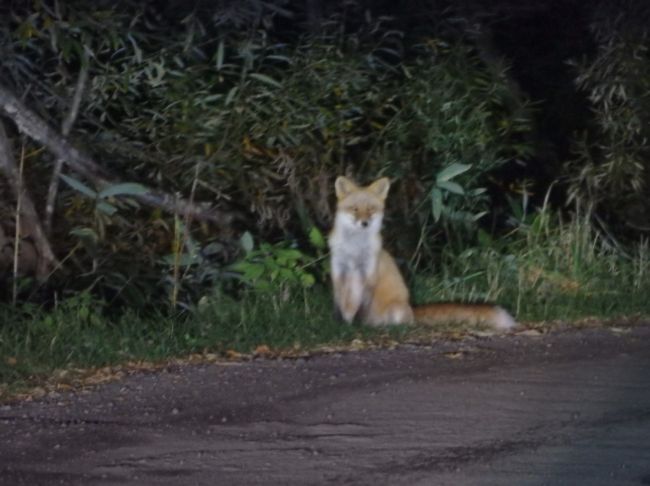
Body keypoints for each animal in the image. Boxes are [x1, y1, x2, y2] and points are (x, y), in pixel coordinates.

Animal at [330, 177, 516, 332]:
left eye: (371, 209)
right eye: (354, 209)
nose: (365, 223)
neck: (354, 251)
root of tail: (412, 309)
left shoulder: (368, 275)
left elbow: (361, 308)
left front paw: (358, 325)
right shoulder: (339, 273)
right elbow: (340, 306)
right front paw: (342, 325)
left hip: (396, 309)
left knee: (402, 325)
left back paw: (382, 327)